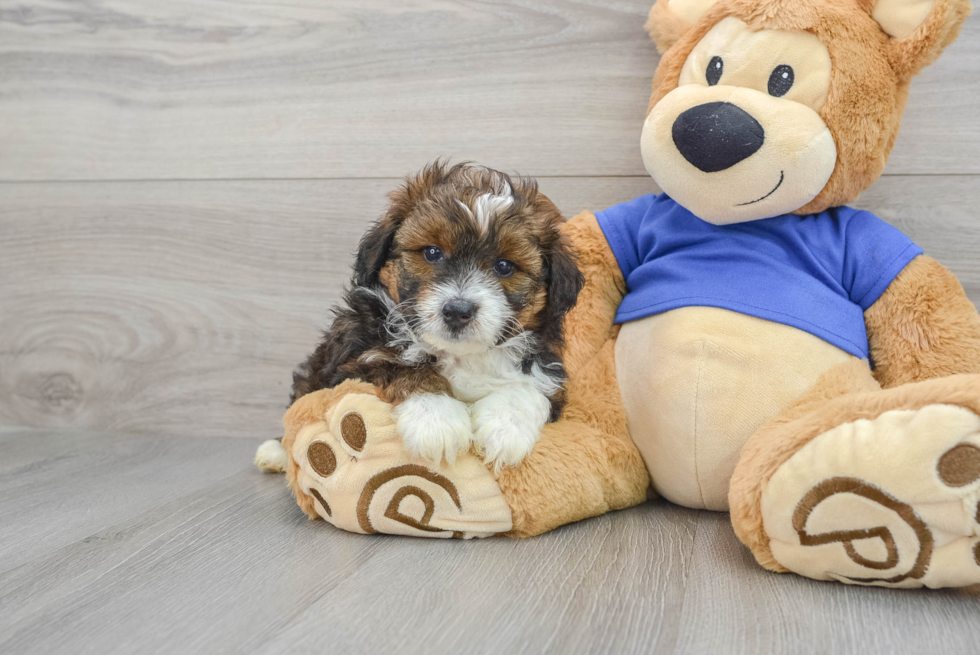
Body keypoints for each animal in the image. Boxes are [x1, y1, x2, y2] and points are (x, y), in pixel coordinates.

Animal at [256, 163, 584, 472]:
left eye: (504, 266)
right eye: (432, 252)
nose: (458, 311)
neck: (461, 355)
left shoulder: (548, 369)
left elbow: (531, 386)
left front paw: (505, 430)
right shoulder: (353, 361)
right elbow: (400, 365)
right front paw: (437, 420)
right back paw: (276, 452)